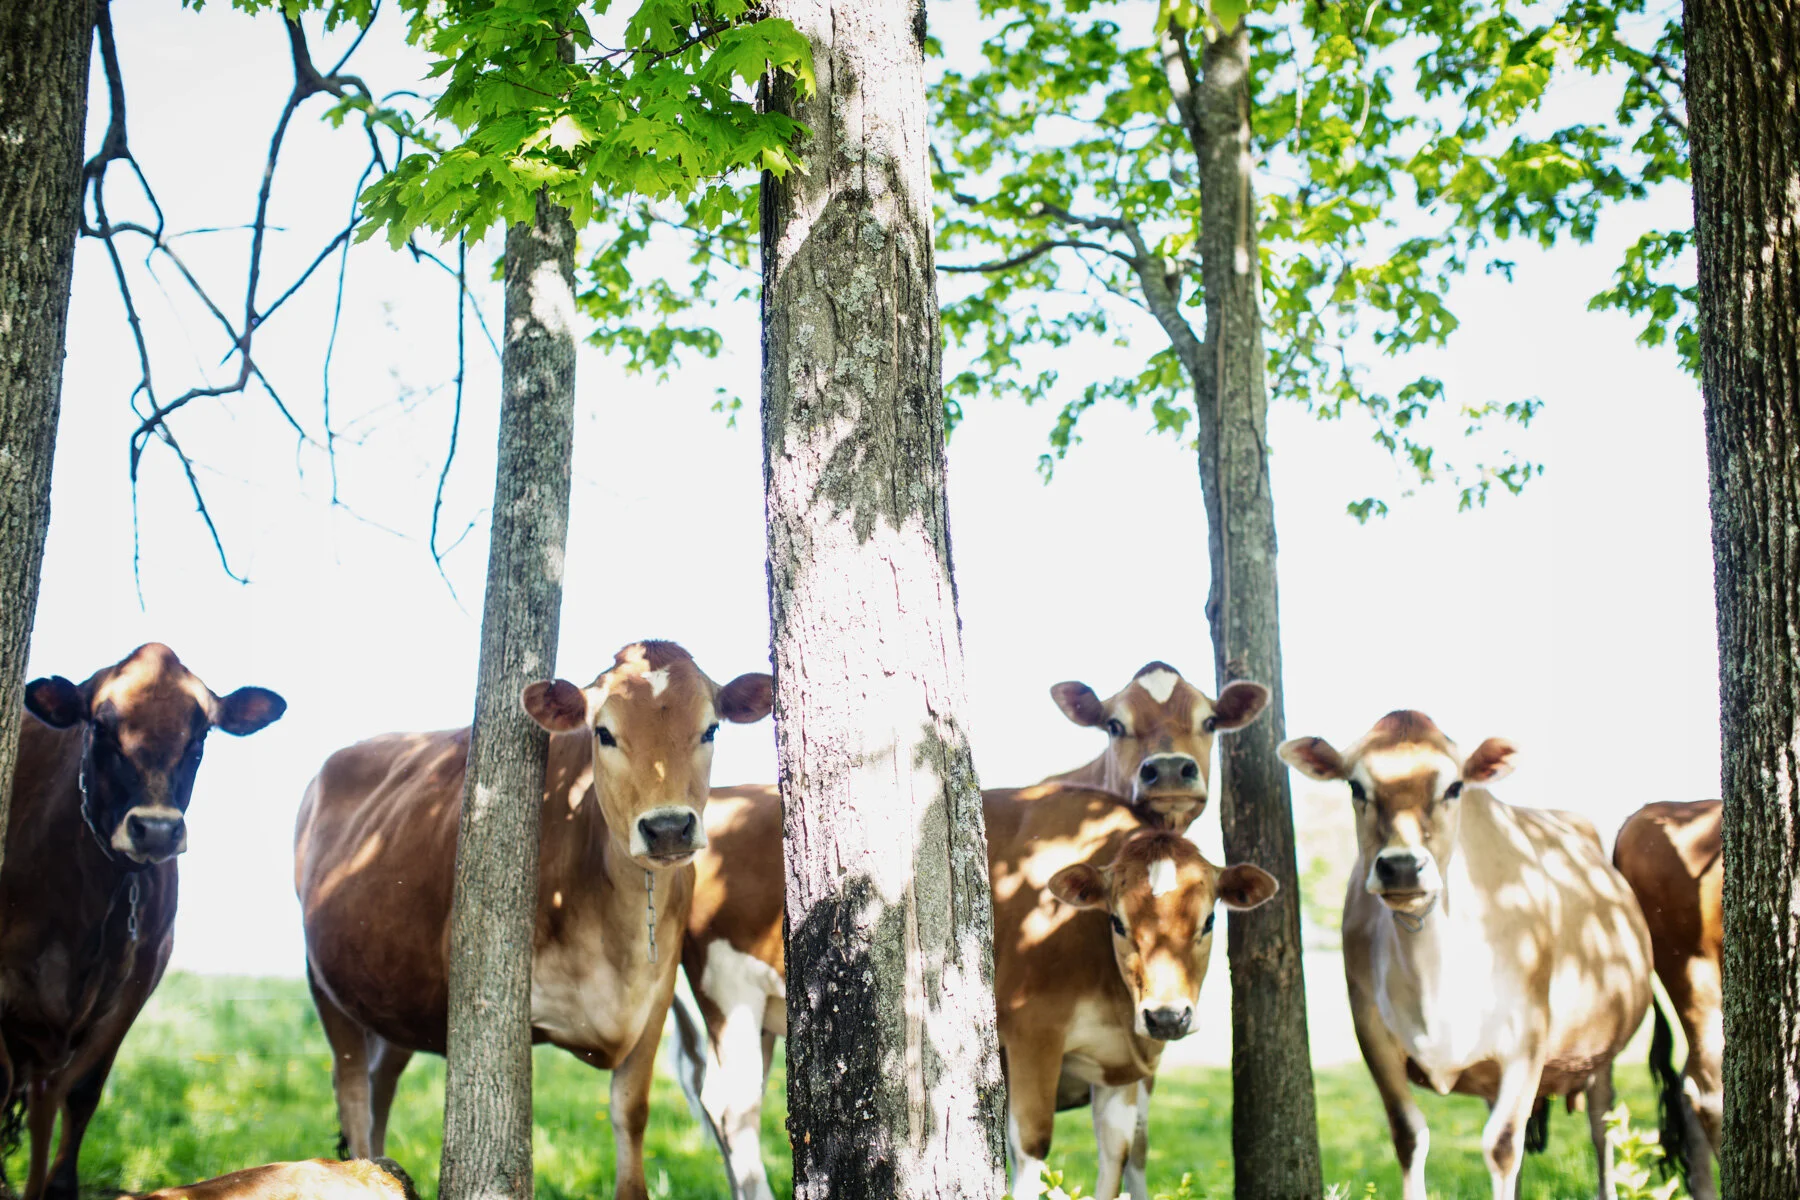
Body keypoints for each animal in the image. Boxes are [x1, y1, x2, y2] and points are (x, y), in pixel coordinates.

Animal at [295, 641, 771, 1200]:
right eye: (603, 732)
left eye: (710, 728)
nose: (669, 827)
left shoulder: (655, 1001)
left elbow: (631, 1115)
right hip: (325, 982)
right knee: (350, 1088)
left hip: (397, 994)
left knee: (378, 1084)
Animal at [670, 782, 1277, 1200]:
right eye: (1118, 922)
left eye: (1208, 922)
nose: (1167, 1017)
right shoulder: (1033, 1034)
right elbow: (1031, 1145)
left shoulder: (1119, 1066)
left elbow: (1119, 1153)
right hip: (729, 993)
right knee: (736, 1109)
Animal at [1279, 711, 1652, 1200]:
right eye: (1356, 787)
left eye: (1454, 786)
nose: (1401, 867)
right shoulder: (1372, 1033)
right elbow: (1409, 1136)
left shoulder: (1528, 1035)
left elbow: (1503, 1146)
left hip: (1600, 1049)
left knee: (1601, 1125)